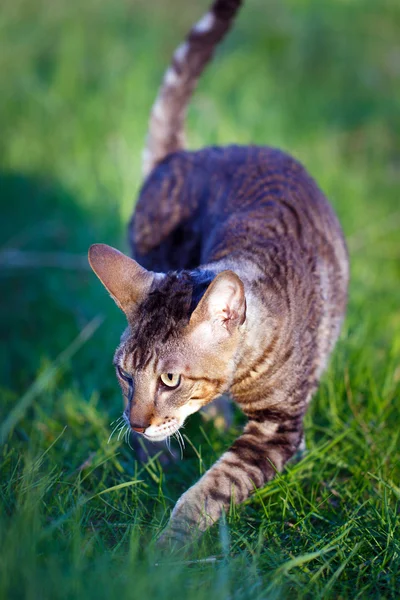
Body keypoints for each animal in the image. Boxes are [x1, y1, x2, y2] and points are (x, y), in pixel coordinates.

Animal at [87, 0, 346, 548]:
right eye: (124, 372)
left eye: (170, 379)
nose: (136, 425)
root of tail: (179, 156)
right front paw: (156, 475)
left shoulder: (279, 429)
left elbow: (209, 490)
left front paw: (167, 548)